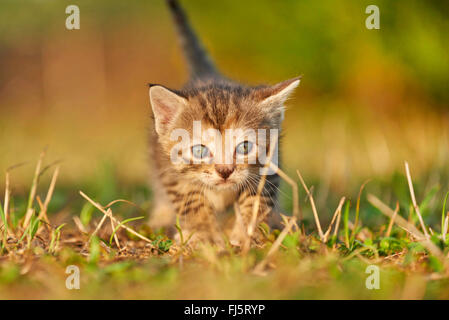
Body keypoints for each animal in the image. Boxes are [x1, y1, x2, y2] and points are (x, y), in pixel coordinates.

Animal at [149, 0, 300, 248]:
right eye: (199, 150)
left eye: (245, 147)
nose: (225, 171)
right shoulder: (172, 173)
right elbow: (191, 200)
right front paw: (202, 233)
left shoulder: (269, 167)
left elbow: (256, 201)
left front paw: (247, 233)